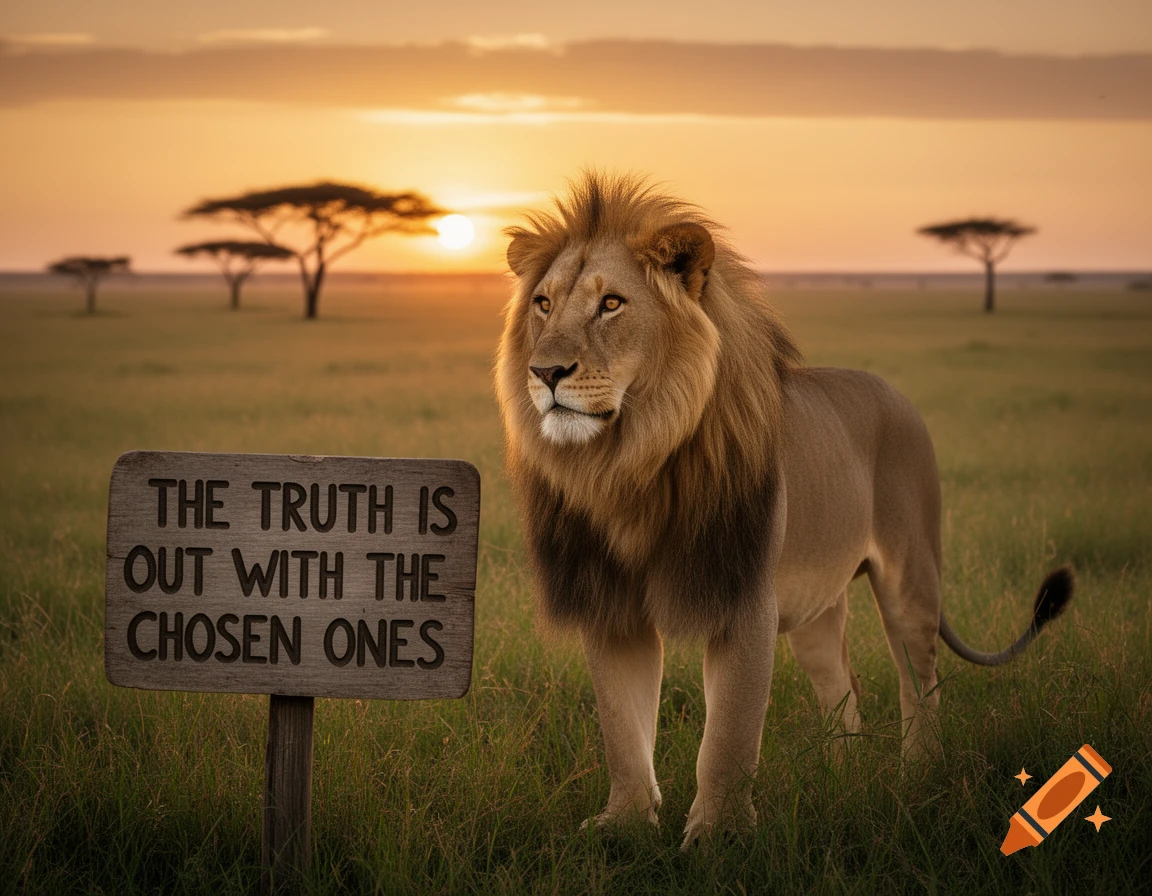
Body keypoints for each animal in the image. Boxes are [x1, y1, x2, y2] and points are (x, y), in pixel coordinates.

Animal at [494, 172, 1072, 847]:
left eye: (611, 304)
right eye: (543, 304)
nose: (545, 371)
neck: (629, 462)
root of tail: (895, 393)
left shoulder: (746, 598)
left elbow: (729, 735)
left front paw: (716, 839)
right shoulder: (611, 607)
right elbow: (621, 727)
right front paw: (625, 825)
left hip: (910, 581)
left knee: (920, 684)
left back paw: (917, 778)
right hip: (817, 610)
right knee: (844, 690)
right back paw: (843, 782)